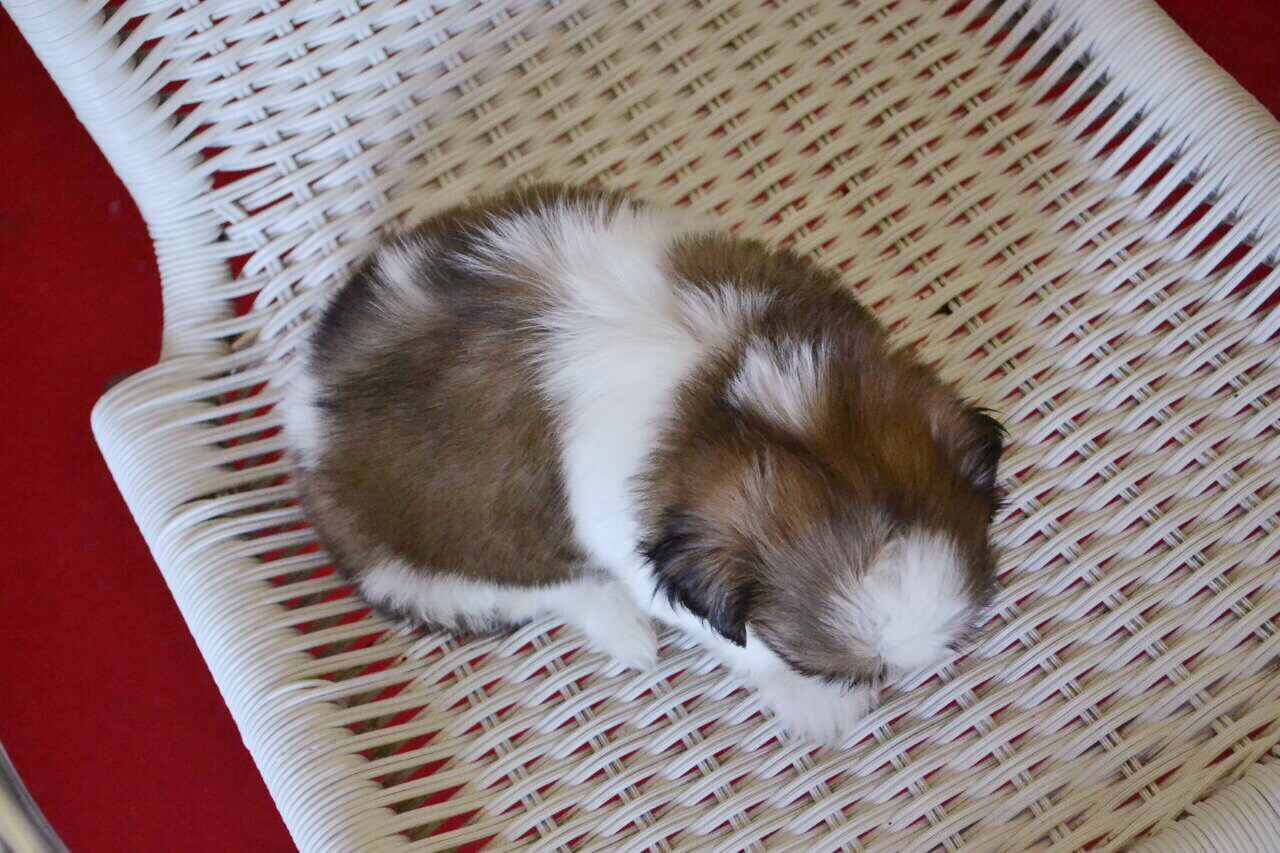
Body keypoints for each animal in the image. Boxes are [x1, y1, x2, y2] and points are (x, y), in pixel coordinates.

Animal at [283, 184, 1003, 742]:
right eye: (819, 667)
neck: (735, 391)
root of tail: (306, 415)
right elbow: (738, 645)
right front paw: (817, 702)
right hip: (426, 577)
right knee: (547, 589)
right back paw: (620, 626)